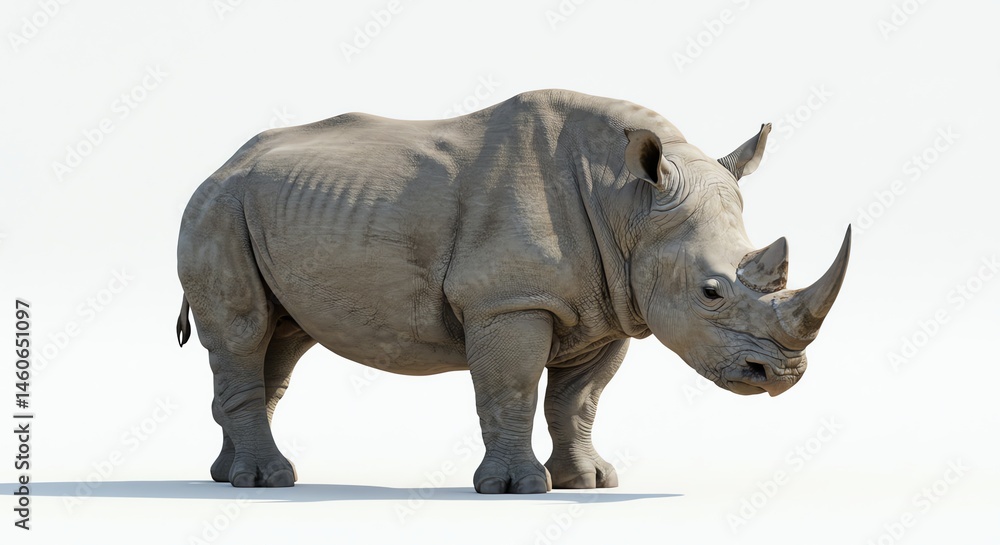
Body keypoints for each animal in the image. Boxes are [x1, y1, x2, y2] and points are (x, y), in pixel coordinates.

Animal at [176, 89, 850, 493]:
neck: (627, 202)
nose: (783, 374)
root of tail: (218, 166)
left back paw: (231, 477)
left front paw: (590, 483)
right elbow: (513, 390)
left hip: (264, 208)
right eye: (711, 293)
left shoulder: (611, 304)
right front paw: (517, 489)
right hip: (217, 210)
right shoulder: (509, 300)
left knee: (282, 342)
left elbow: (578, 401)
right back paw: (267, 481)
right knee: (243, 333)